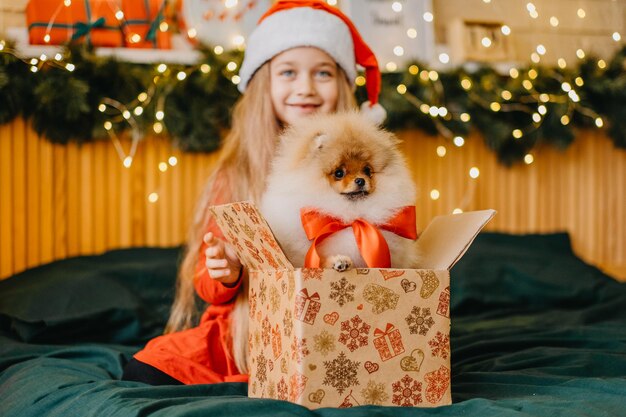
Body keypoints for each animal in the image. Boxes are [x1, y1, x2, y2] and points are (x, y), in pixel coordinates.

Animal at [258, 110, 420, 270]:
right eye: (339, 173)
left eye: (367, 171)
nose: (360, 180)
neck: (350, 215)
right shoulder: (299, 254)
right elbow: (317, 262)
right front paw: (338, 261)